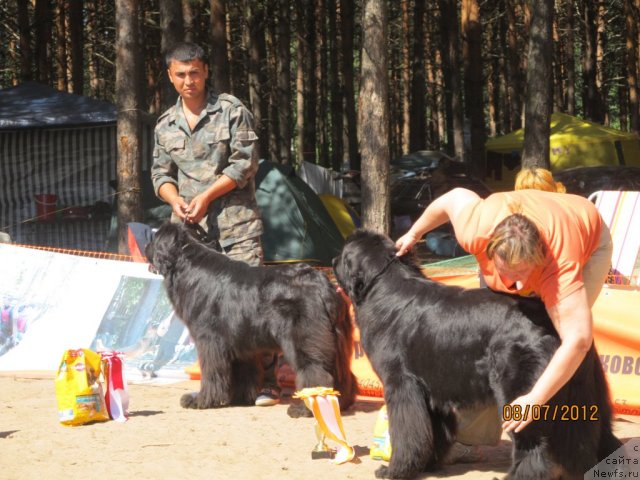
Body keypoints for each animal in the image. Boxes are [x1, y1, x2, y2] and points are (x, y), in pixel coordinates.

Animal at [144, 223, 356, 418]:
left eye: (154, 238)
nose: (146, 246)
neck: (185, 263)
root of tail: (324, 284)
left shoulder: (209, 341)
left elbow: (211, 373)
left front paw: (201, 400)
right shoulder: (238, 343)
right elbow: (242, 373)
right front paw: (237, 398)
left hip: (303, 341)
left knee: (316, 373)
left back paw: (305, 409)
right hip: (336, 343)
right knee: (342, 374)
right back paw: (341, 403)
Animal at [332, 231, 624, 478]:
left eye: (343, 253)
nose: (332, 259)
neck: (382, 288)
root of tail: (558, 326)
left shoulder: (401, 385)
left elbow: (407, 433)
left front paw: (394, 470)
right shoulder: (431, 389)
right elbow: (433, 431)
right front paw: (429, 465)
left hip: (521, 395)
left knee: (535, 448)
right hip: (586, 395)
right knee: (602, 440)